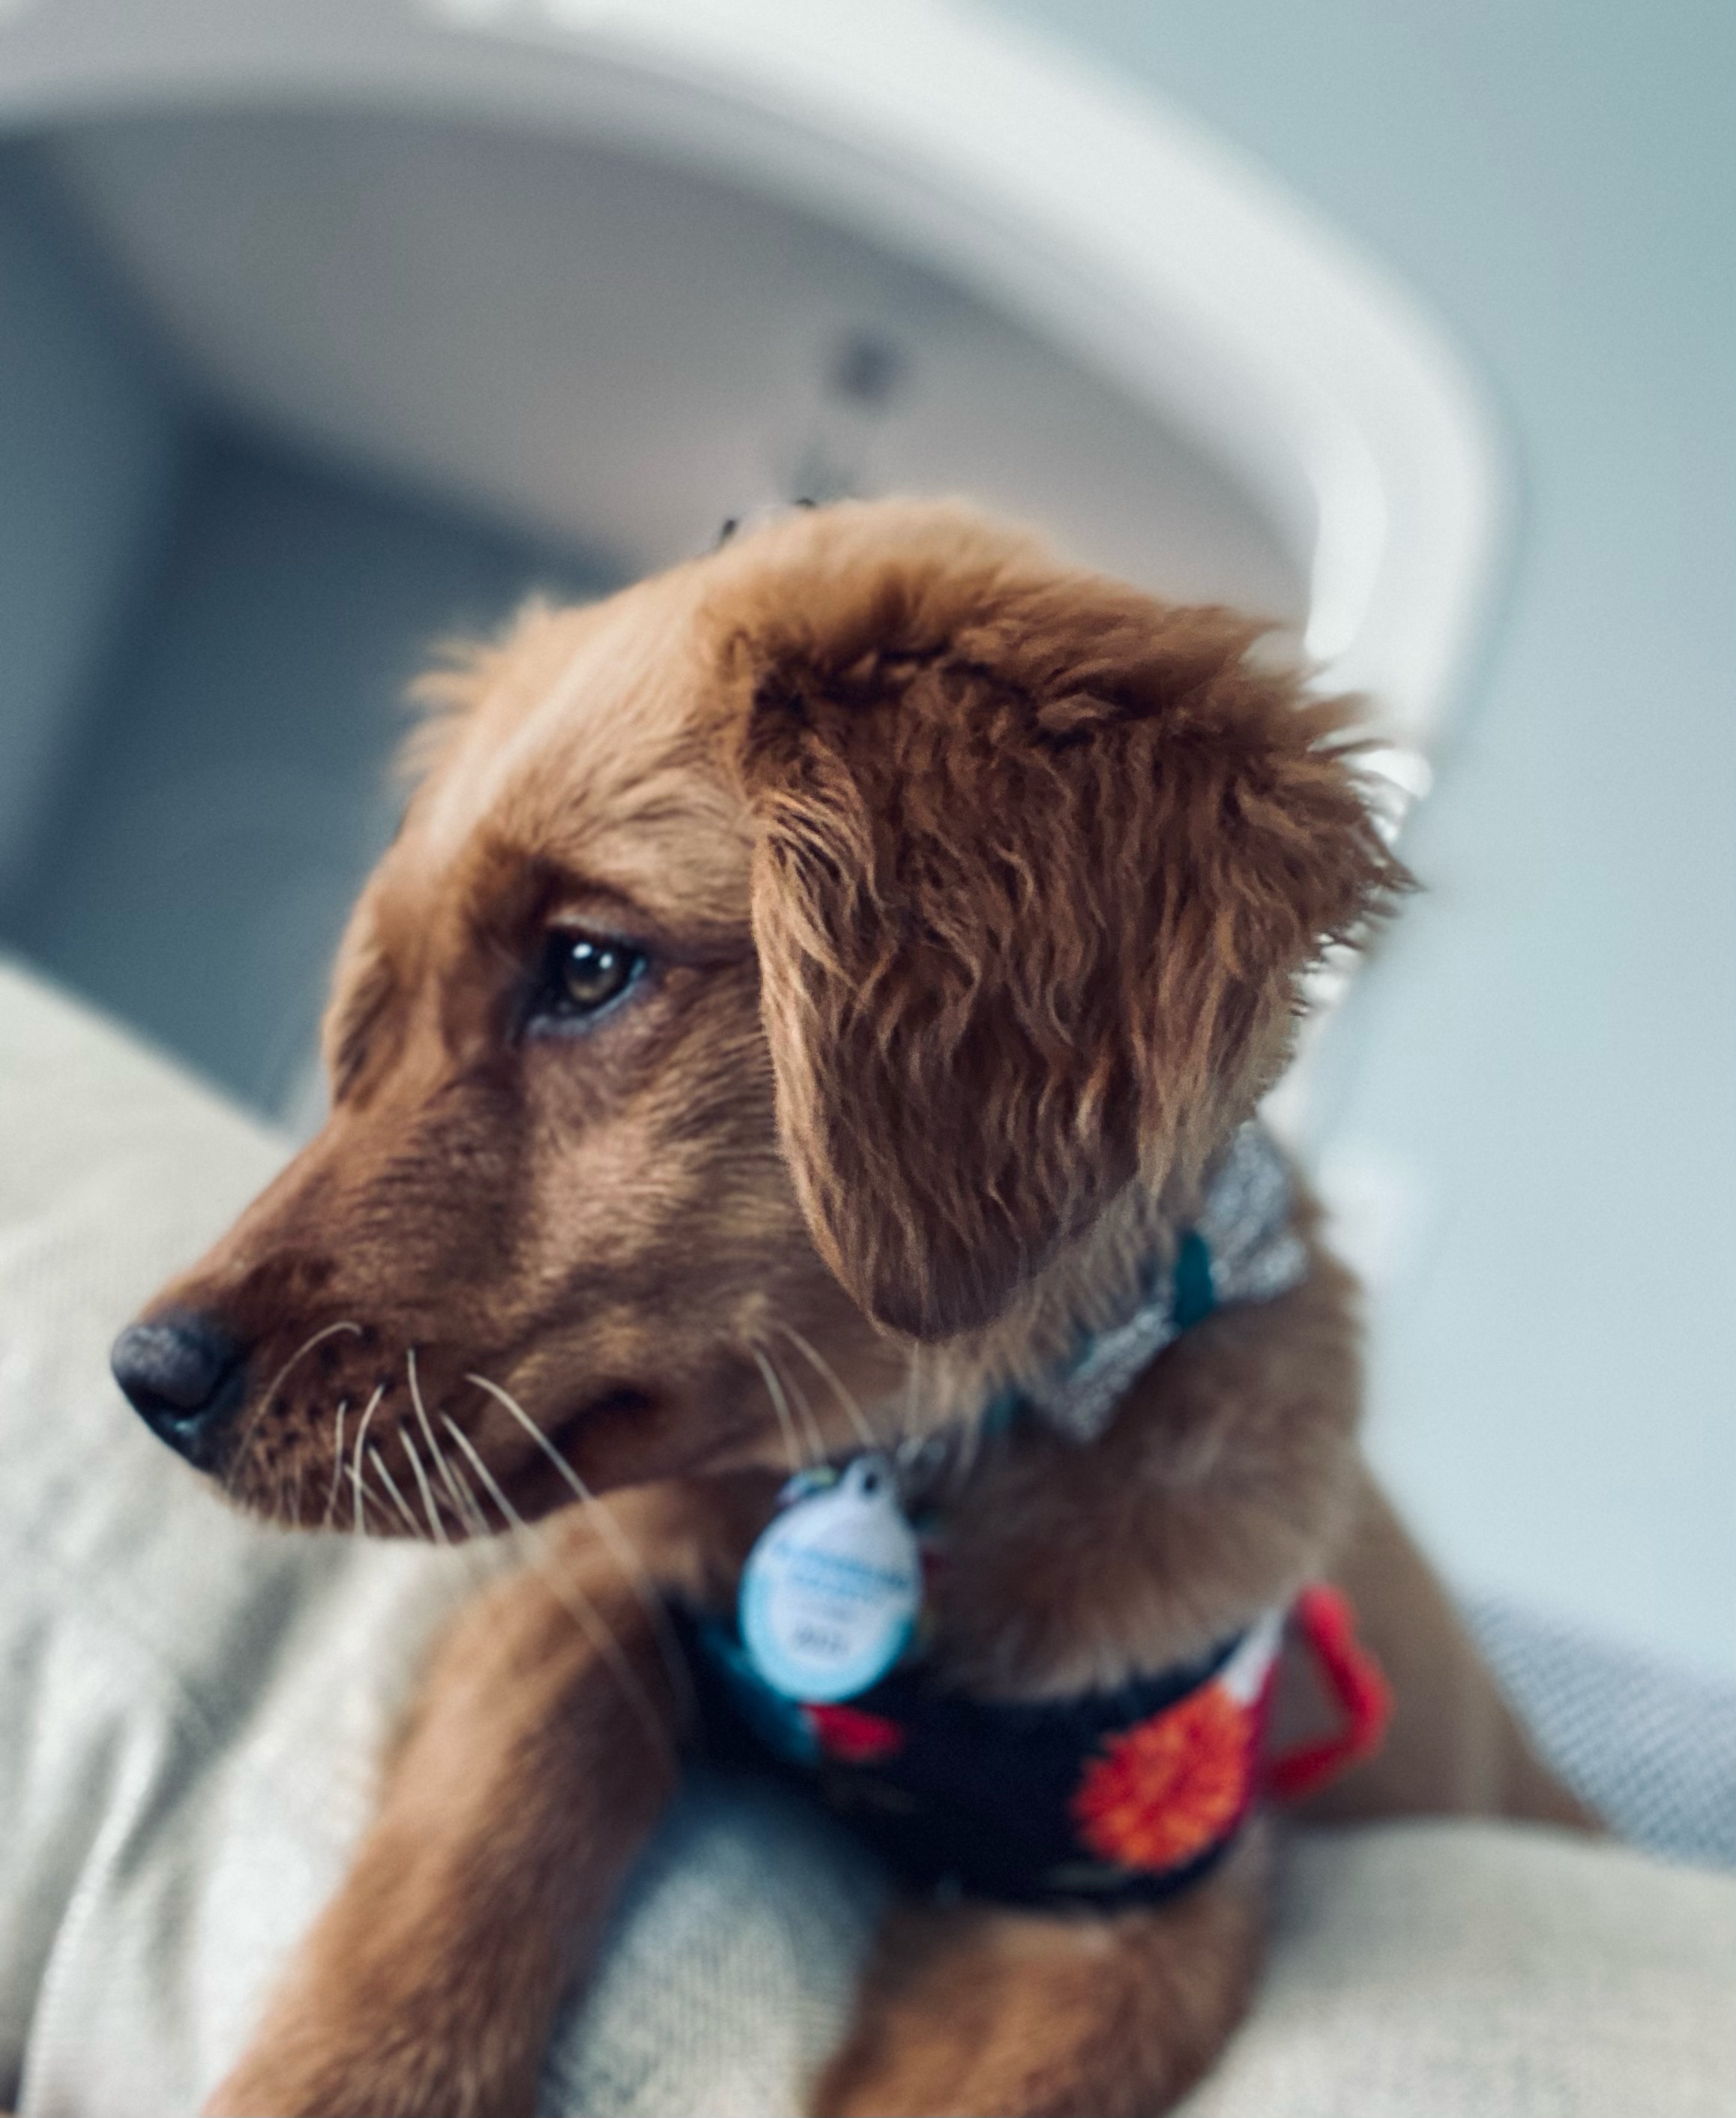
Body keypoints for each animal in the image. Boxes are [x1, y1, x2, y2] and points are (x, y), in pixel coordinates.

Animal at [111, 499, 1583, 2118]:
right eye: (376, 1022)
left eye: (587, 965)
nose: (149, 1377)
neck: (920, 1471)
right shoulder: (595, 1571)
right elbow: (520, 1758)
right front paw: (351, 2065)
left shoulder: (1138, 1897)